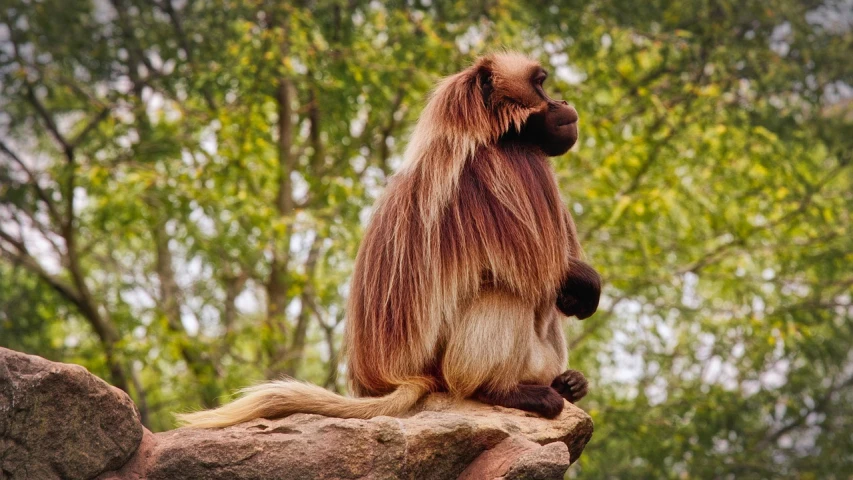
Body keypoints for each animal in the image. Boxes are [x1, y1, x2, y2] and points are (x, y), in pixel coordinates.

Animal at [177, 51, 600, 428]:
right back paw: (499, 390)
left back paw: (566, 384)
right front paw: (584, 283)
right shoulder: (514, 165)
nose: (564, 103)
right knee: (506, 289)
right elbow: (542, 270)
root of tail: (393, 376)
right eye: (540, 85)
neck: (476, 137)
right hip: (445, 367)